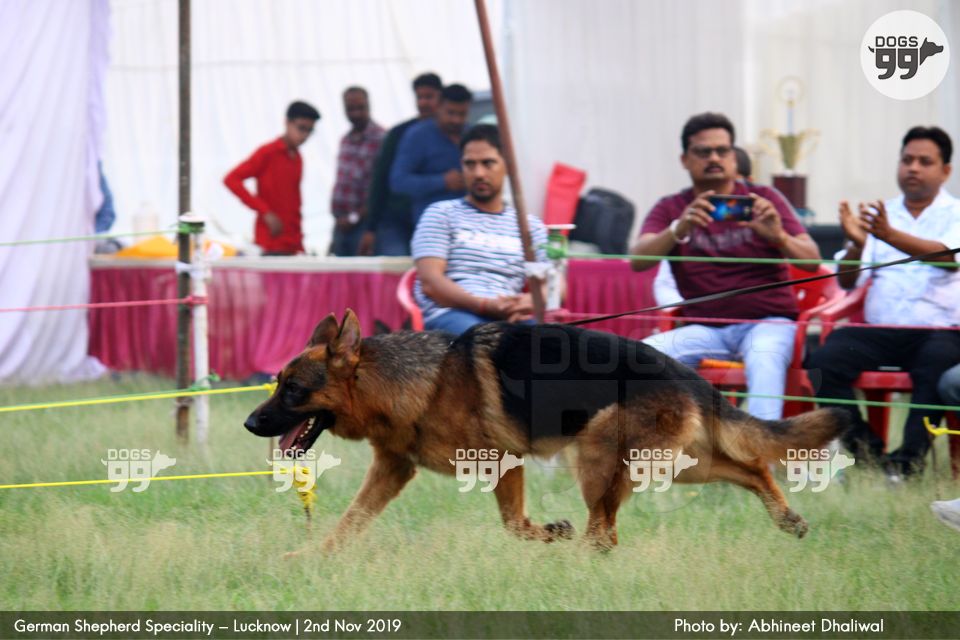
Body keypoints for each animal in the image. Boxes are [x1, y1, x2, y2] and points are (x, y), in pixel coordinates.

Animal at [244, 309, 849, 552]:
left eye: (293, 391)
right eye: (277, 384)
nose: (251, 422)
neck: (414, 380)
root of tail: (689, 375)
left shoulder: (498, 461)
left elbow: (514, 524)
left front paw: (550, 533)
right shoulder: (393, 469)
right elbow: (348, 523)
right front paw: (311, 559)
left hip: (601, 455)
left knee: (604, 534)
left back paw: (581, 557)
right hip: (680, 464)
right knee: (753, 465)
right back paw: (787, 517)